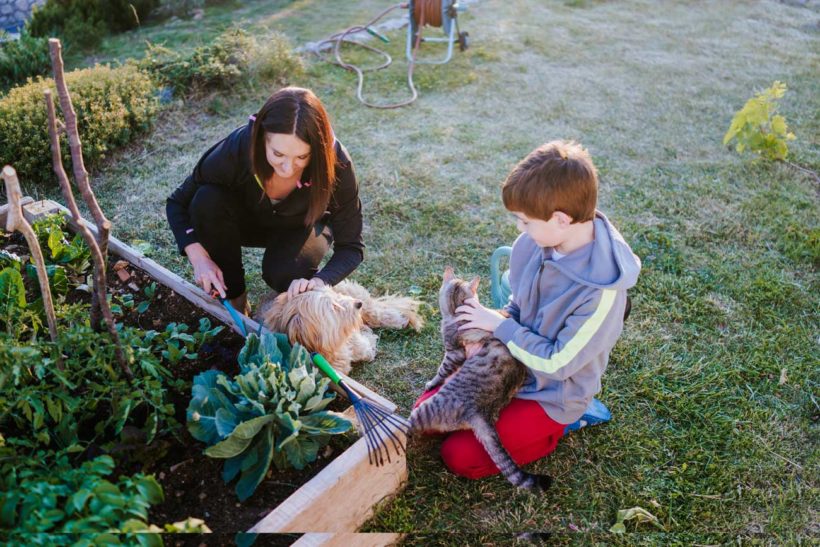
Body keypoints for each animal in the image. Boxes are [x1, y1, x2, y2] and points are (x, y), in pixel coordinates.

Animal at [256, 280, 422, 374]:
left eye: (335, 296)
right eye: (333, 306)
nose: (358, 304)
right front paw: (367, 339)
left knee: (375, 311)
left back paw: (399, 319)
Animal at [408, 268, 556, 494]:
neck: (458, 310)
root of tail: (482, 412)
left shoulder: (453, 353)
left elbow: (441, 371)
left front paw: (431, 382)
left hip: (428, 407)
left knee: (406, 427)